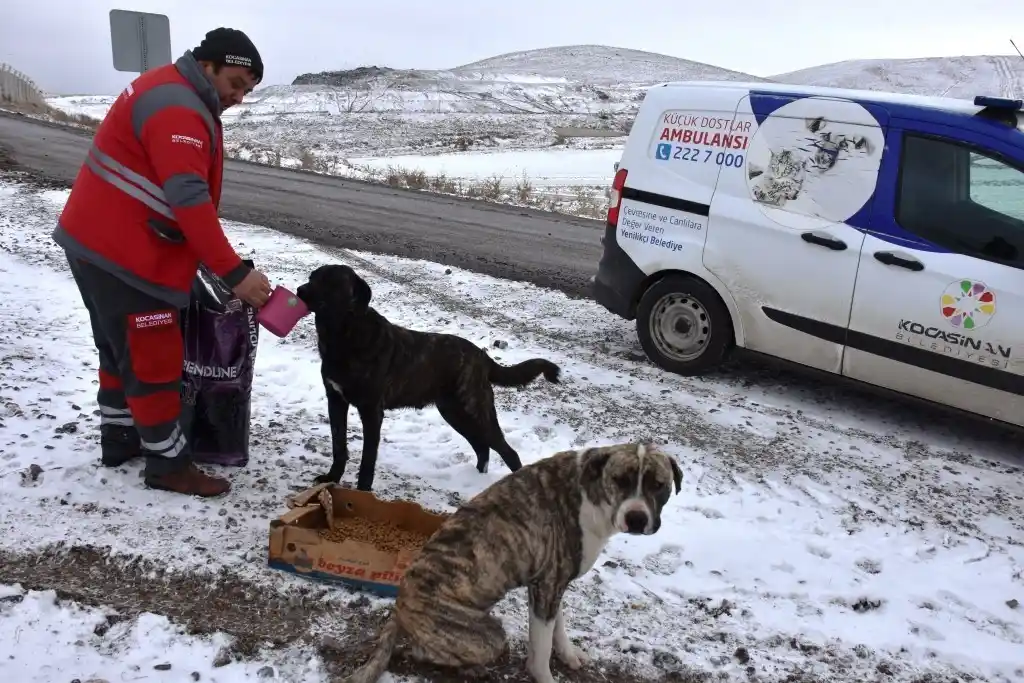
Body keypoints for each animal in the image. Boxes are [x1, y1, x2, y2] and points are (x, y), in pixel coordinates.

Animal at [292, 264, 565, 493]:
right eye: (312, 277)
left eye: (331, 281)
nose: (300, 290)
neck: (342, 335)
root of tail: (481, 356)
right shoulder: (336, 400)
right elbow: (339, 446)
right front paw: (331, 479)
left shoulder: (371, 411)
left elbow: (367, 460)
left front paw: (361, 494)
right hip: (455, 412)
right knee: (482, 447)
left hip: (476, 411)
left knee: (508, 452)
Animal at [339, 440, 684, 679]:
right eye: (620, 480)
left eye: (658, 485)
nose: (637, 518)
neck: (591, 491)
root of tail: (399, 607)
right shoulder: (547, 587)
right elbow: (541, 650)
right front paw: (544, 675)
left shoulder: (551, 585)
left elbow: (558, 629)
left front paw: (569, 656)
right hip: (486, 637)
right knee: (423, 651)